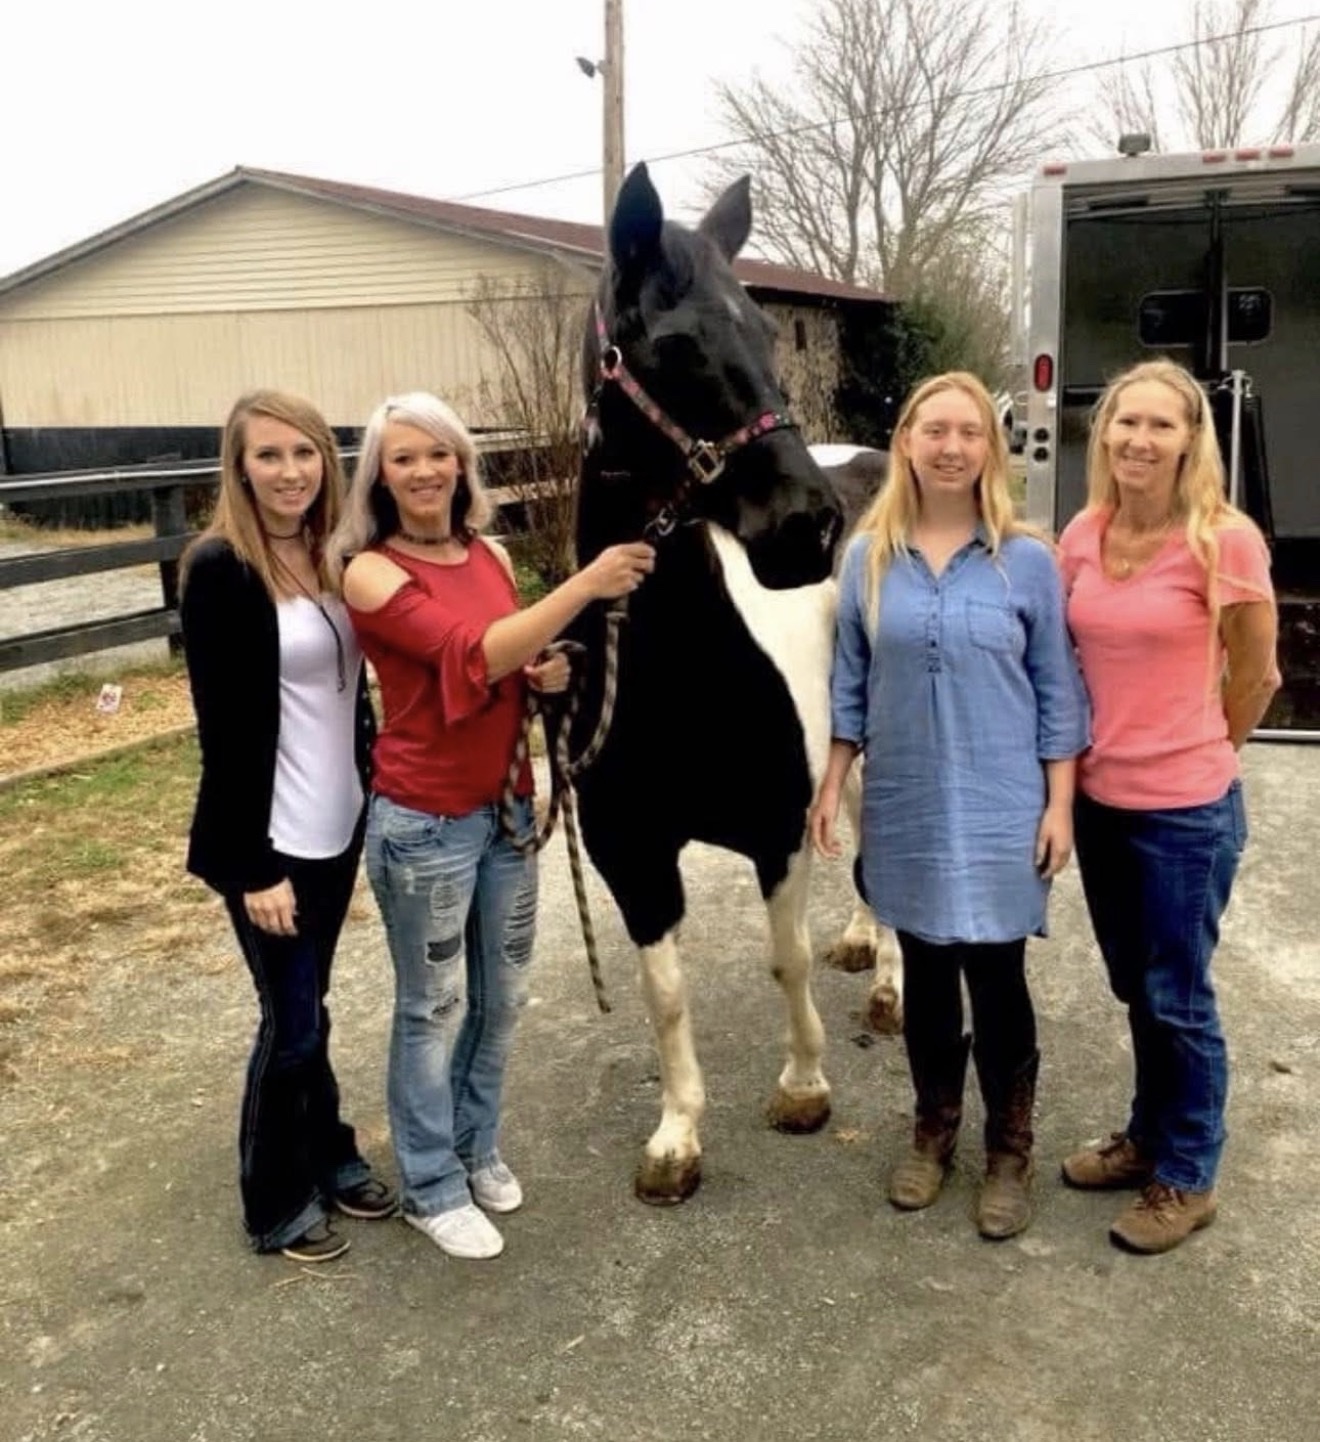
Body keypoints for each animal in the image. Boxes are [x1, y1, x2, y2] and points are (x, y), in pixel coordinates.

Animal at [564, 161, 902, 1204]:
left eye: (764, 327)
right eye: (673, 347)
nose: (807, 528)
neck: (677, 673)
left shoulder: (773, 829)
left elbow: (784, 961)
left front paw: (803, 1086)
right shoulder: (631, 854)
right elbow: (664, 995)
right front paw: (678, 1135)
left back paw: (888, 985)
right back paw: (867, 943)